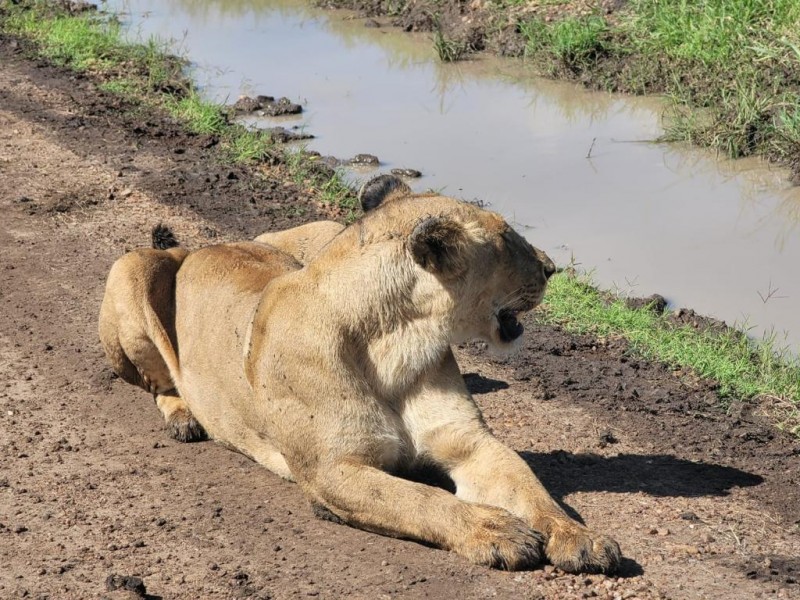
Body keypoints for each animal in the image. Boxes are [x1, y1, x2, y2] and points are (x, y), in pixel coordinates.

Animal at [100, 172, 620, 572]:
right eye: (506, 238)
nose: (552, 269)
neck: (397, 340)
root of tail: (202, 247)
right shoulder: (331, 470)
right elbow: (421, 500)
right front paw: (494, 530)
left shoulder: (470, 443)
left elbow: (530, 486)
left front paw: (579, 536)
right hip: (131, 267)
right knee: (156, 381)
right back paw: (185, 418)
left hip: (315, 231)